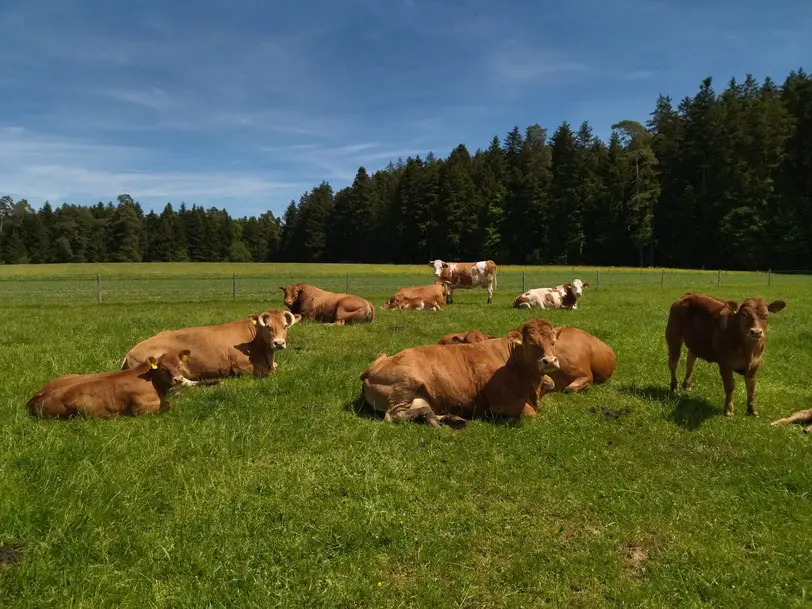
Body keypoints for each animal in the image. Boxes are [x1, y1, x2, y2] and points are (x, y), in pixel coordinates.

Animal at [28, 346, 190, 418]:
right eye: (163, 368)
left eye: (180, 365)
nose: (178, 379)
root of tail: (39, 395)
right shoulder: (140, 409)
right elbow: (168, 405)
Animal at [120, 306, 298, 382]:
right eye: (268, 327)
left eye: (285, 326)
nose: (279, 343)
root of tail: (130, 352)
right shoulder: (241, 366)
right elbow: (266, 373)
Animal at [362, 318, 564, 428]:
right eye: (531, 343)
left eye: (553, 342)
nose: (550, 361)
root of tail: (374, 365)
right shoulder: (501, 402)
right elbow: (531, 413)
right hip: (405, 385)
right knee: (393, 416)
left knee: (424, 409)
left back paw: (449, 419)